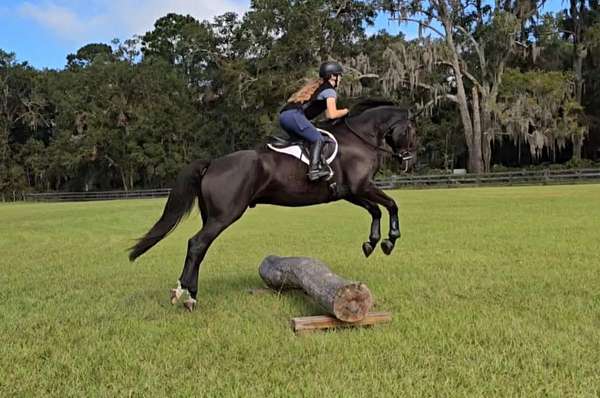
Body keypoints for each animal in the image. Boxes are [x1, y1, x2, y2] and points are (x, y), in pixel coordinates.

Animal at [127, 100, 418, 310]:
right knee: (197, 244)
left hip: (211, 216)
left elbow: (376, 209)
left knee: (199, 247)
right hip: (225, 215)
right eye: (411, 131)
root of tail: (214, 163)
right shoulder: (362, 187)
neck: (359, 139)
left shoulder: (351, 192)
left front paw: (373, 243)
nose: (408, 160)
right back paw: (186, 294)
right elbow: (392, 205)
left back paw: (188, 294)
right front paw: (391, 239)